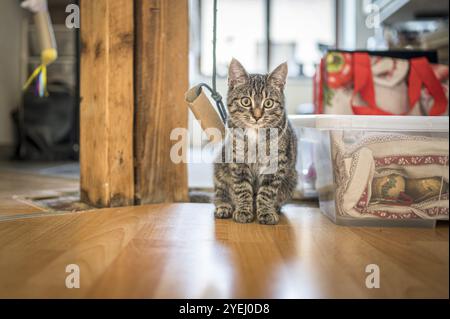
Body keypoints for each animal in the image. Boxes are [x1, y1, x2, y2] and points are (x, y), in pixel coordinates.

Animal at [214, 58, 298, 225]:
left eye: (268, 103)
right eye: (246, 101)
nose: (257, 116)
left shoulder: (276, 162)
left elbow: (267, 191)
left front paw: (265, 212)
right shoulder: (237, 159)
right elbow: (242, 187)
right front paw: (244, 210)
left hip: (292, 179)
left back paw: (274, 208)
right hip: (219, 168)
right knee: (220, 191)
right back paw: (224, 206)